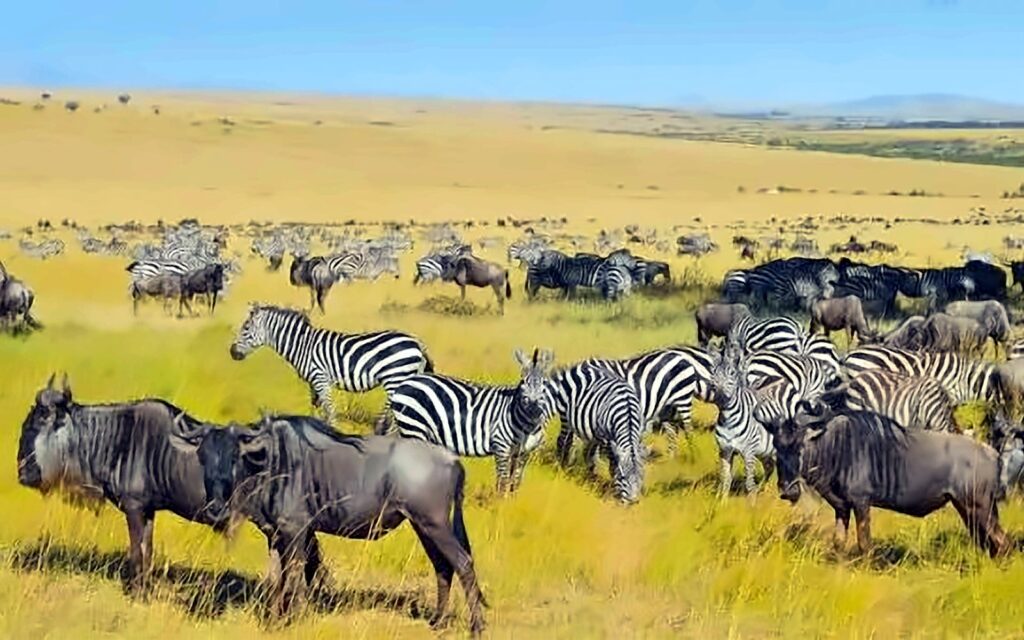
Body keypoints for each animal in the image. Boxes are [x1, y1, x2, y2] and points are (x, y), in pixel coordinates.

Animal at [229, 304, 433, 428]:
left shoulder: (320, 378)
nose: (232, 353)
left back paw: (380, 428)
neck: (302, 345)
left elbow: (329, 410)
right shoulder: (313, 384)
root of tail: (417, 342)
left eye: (245, 329)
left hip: (395, 377)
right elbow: (316, 410)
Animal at [390, 348, 556, 493]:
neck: (527, 425)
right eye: (522, 381)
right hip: (414, 427)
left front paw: (511, 505)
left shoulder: (524, 452)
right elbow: (502, 483)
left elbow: (515, 483)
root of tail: (410, 379)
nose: (532, 407)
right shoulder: (501, 446)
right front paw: (499, 507)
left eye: (544, 383)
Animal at [550, 364, 645, 503]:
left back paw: (585, 473)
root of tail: (582, 365)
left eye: (641, 476)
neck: (628, 415)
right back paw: (560, 466)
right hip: (565, 417)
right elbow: (613, 465)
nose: (633, 502)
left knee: (582, 449)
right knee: (563, 441)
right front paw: (613, 489)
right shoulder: (606, 439)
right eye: (623, 478)